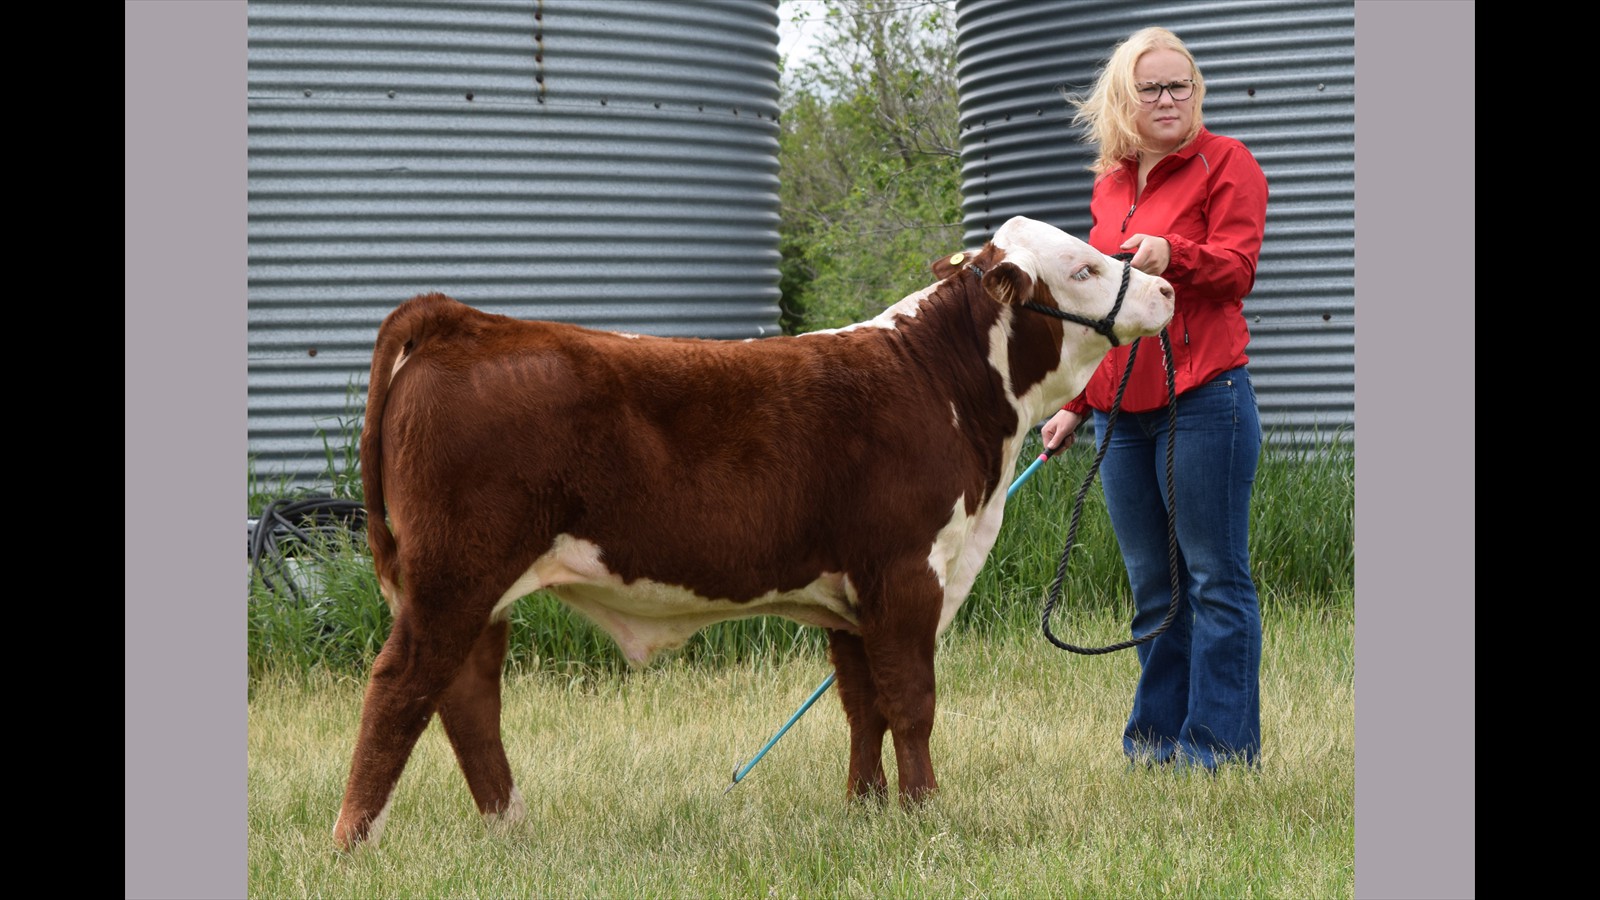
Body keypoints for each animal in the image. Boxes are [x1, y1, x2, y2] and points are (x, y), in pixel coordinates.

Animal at [333, 215, 1174, 850]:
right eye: (1084, 267)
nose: (1165, 285)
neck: (943, 388)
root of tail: (467, 321)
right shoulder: (907, 572)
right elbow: (911, 700)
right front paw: (925, 812)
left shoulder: (852, 595)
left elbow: (863, 704)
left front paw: (866, 809)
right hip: (455, 576)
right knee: (402, 687)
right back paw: (355, 842)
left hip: (479, 588)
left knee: (467, 695)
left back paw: (510, 827)